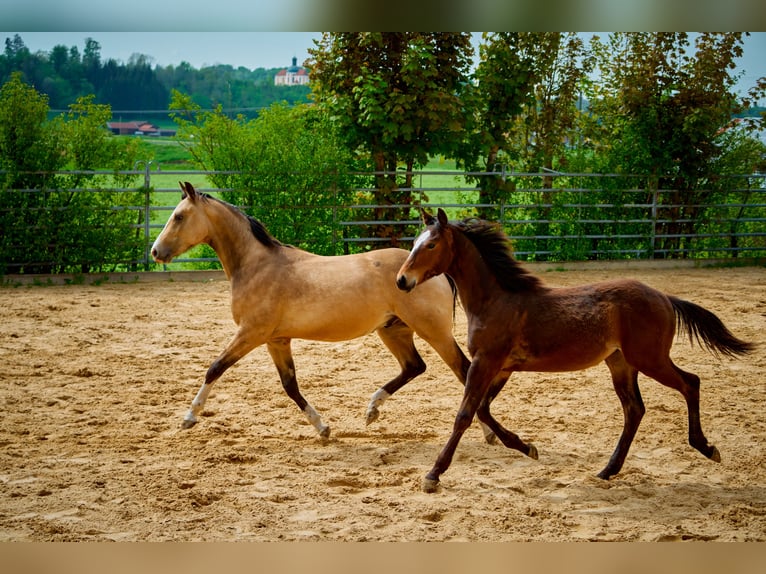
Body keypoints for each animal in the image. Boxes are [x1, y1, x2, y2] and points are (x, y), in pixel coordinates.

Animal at [150, 182, 495, 442]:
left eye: (179, 216)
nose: (156, 252)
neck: (256, 265)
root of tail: (432, 272)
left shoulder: (250, 334)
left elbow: (214, 369)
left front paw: (189, 417)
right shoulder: (276, 340)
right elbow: (290, 386)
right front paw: (323, 428)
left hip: (433, 331)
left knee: (463, 371)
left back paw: (488, 432)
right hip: (393, 329)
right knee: (414, 366)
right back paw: (372, 410)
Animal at [396, 208, 755, 492]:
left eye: (431, 244)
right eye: (413, 243)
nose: (402, 280)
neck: (496, 300)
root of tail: (664, 297)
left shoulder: (487, 362)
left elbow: (465, 415)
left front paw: (433, 475)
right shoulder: (501, 367)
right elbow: (483, 409)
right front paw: (526, 447)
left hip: (649, 358)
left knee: (690, 383)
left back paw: (706, 447)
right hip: (621, 363)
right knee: (635, 409)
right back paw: (608, 470)